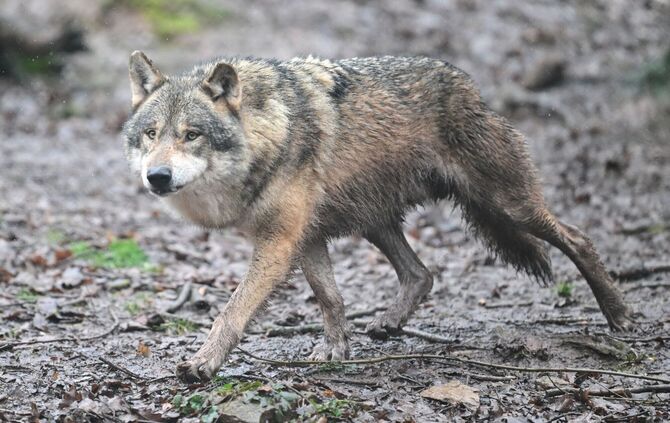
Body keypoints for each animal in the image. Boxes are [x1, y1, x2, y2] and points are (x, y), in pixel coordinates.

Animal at [123, 51, 633, 383]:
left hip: (508, 205)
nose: (157, 176)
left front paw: (202, 363)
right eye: (151, 134)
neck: (267, 132)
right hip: (375, 221)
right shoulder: (306, 237)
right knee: (422, 274)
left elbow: (231, 311)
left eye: (191, 135)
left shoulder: (280, 241)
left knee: (578, 238)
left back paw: (619, 316)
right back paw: (389, 323)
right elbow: (330, 298)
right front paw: (335, 349)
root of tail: (471, 87)